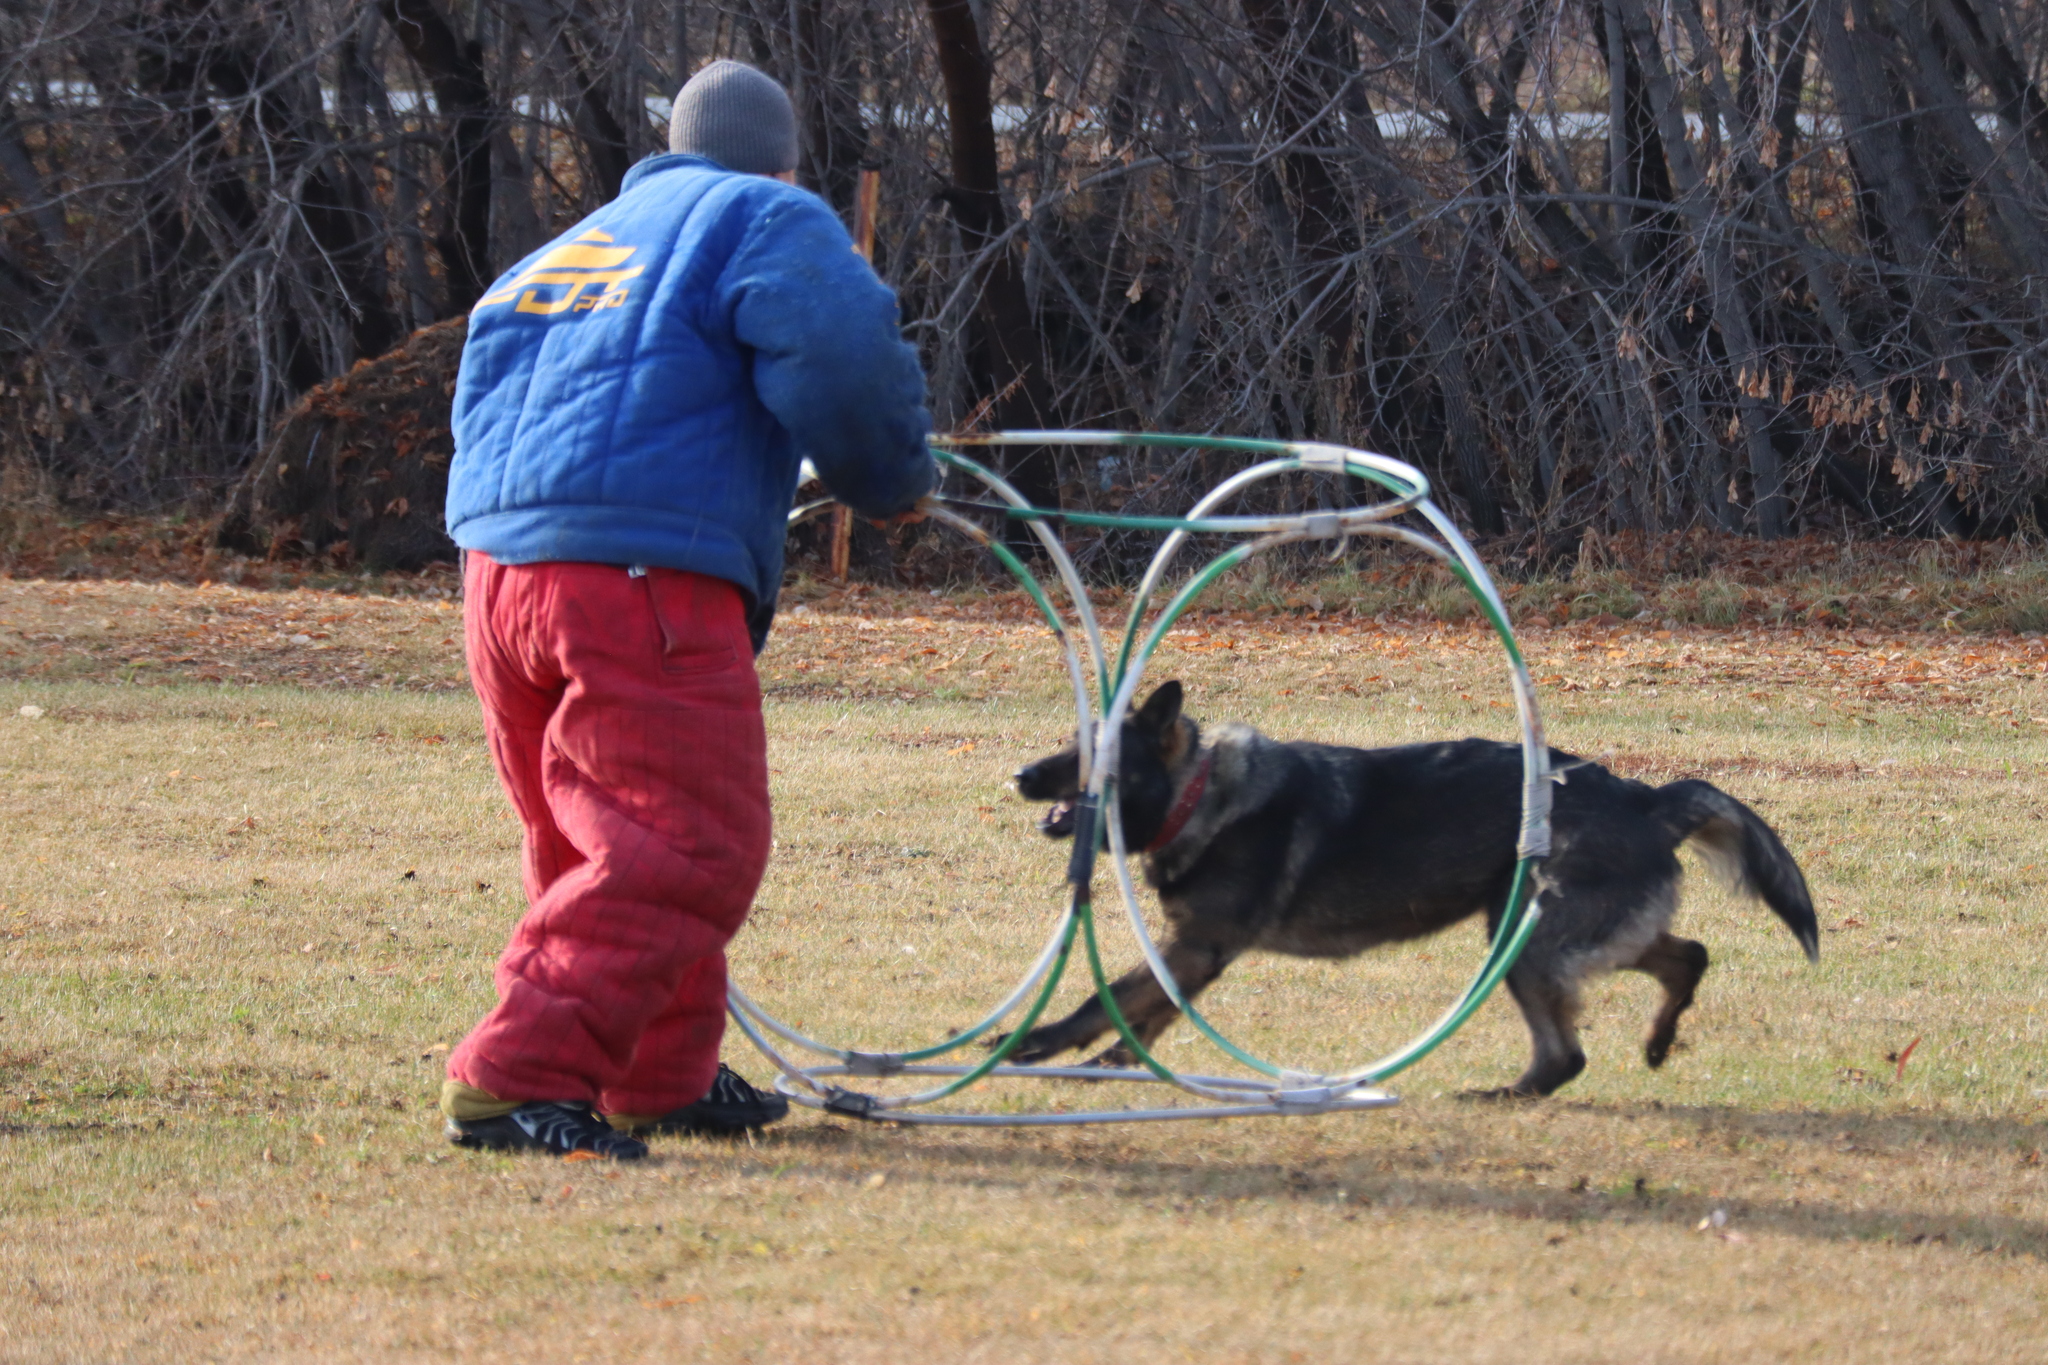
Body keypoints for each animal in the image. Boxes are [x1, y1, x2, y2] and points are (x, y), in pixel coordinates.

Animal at [1007, 683, 1826, 1096]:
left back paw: (1505, 1095)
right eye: (1068, 741)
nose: (1019, 776)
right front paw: (1112, 1066)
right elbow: (1145, 1013)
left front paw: (1044, 1043)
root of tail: (1645, 798)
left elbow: (1106, 998)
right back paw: (1655, 1043)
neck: (1196, 795)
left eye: (1089, 754)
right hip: (1561, 933)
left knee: (1568, 1054)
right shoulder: (1190, 954)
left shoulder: (1198, 947)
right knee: (1688, 954)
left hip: (1523, 937)